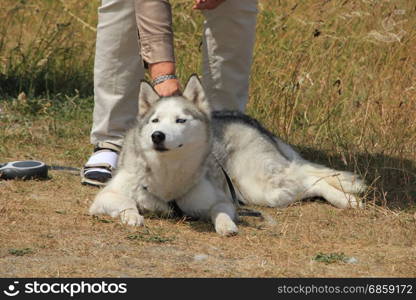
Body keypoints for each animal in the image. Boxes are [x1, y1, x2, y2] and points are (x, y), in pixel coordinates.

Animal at [89, 74, 366, 234]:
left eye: (180, 120)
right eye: (155, 120)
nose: (157, 136)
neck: (168, 173)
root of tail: (244, 118)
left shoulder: (222, 200)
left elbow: (220, 212)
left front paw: (226, 225)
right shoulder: (105, 197)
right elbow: (125, 202)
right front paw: (132, 217)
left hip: (262, 187)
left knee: (310, 178)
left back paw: (347, 200)